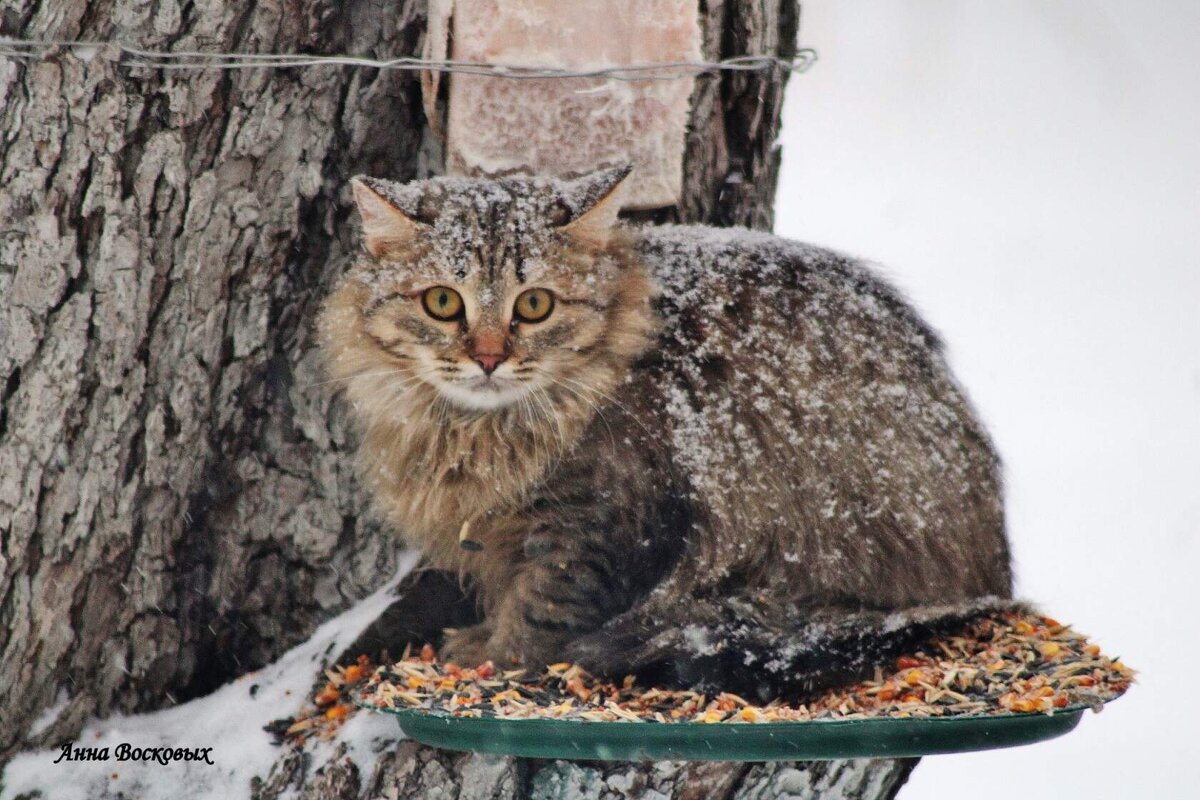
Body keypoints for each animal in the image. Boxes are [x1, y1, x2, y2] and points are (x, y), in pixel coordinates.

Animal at [319, 167, 1012, 700]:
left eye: (535, 305)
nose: (488, 358)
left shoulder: (606, 518)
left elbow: (546, 607)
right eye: (441, 302)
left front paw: (495, 657)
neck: (480, 433)